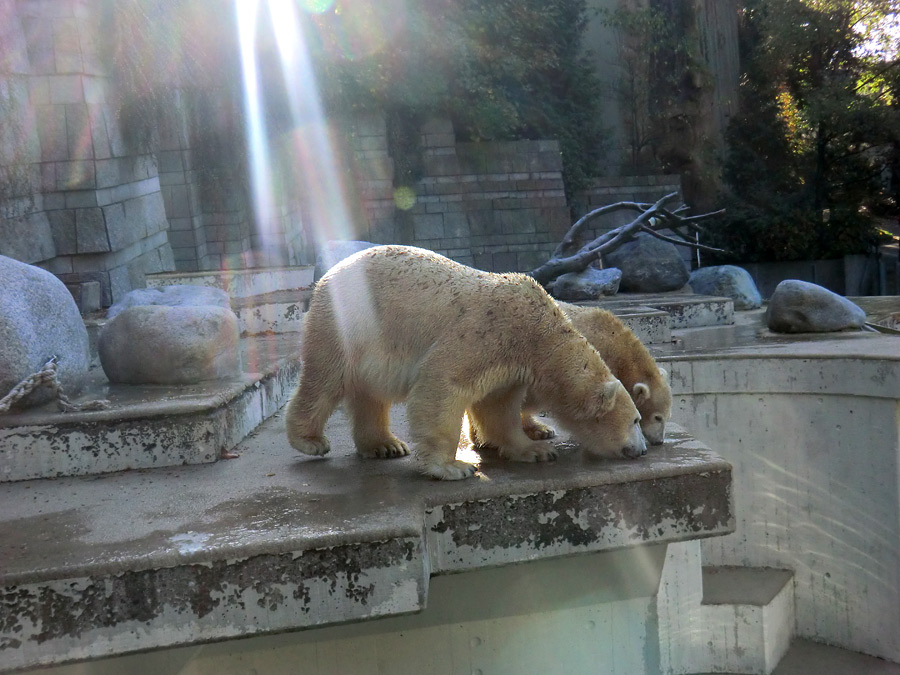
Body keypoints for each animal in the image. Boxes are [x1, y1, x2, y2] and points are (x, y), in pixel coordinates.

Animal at [284, 246, 644, 478]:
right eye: (636, 420)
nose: (641, 450)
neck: (536, 331)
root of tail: (328, 275)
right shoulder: (485, 333)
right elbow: (444, 383)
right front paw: (453, 466)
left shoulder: (510, 364)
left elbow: (498, 407)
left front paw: (534, 450)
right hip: (346, 325)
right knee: (324, 381)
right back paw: (310, 441)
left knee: (369, 395)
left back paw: (385, 445)